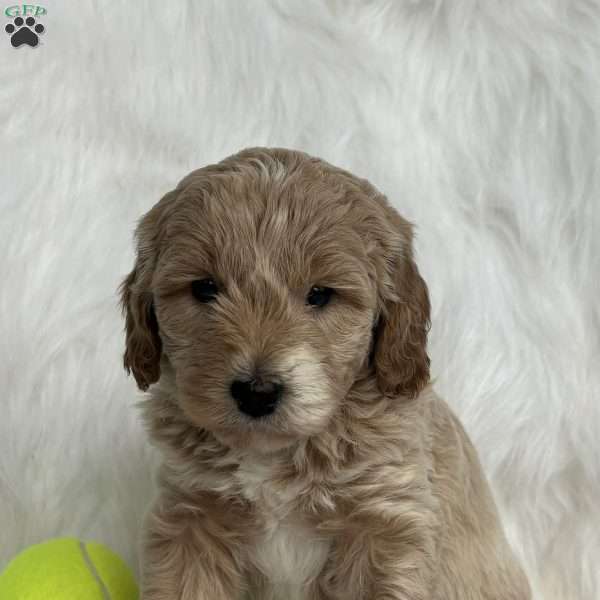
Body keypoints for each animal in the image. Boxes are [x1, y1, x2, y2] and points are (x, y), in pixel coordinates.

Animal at [120, 146, 528, 600]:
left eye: (320, 295)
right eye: (205, 288)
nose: (257, 392)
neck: (279, 453)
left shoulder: (387, 527)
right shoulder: (192, 521)